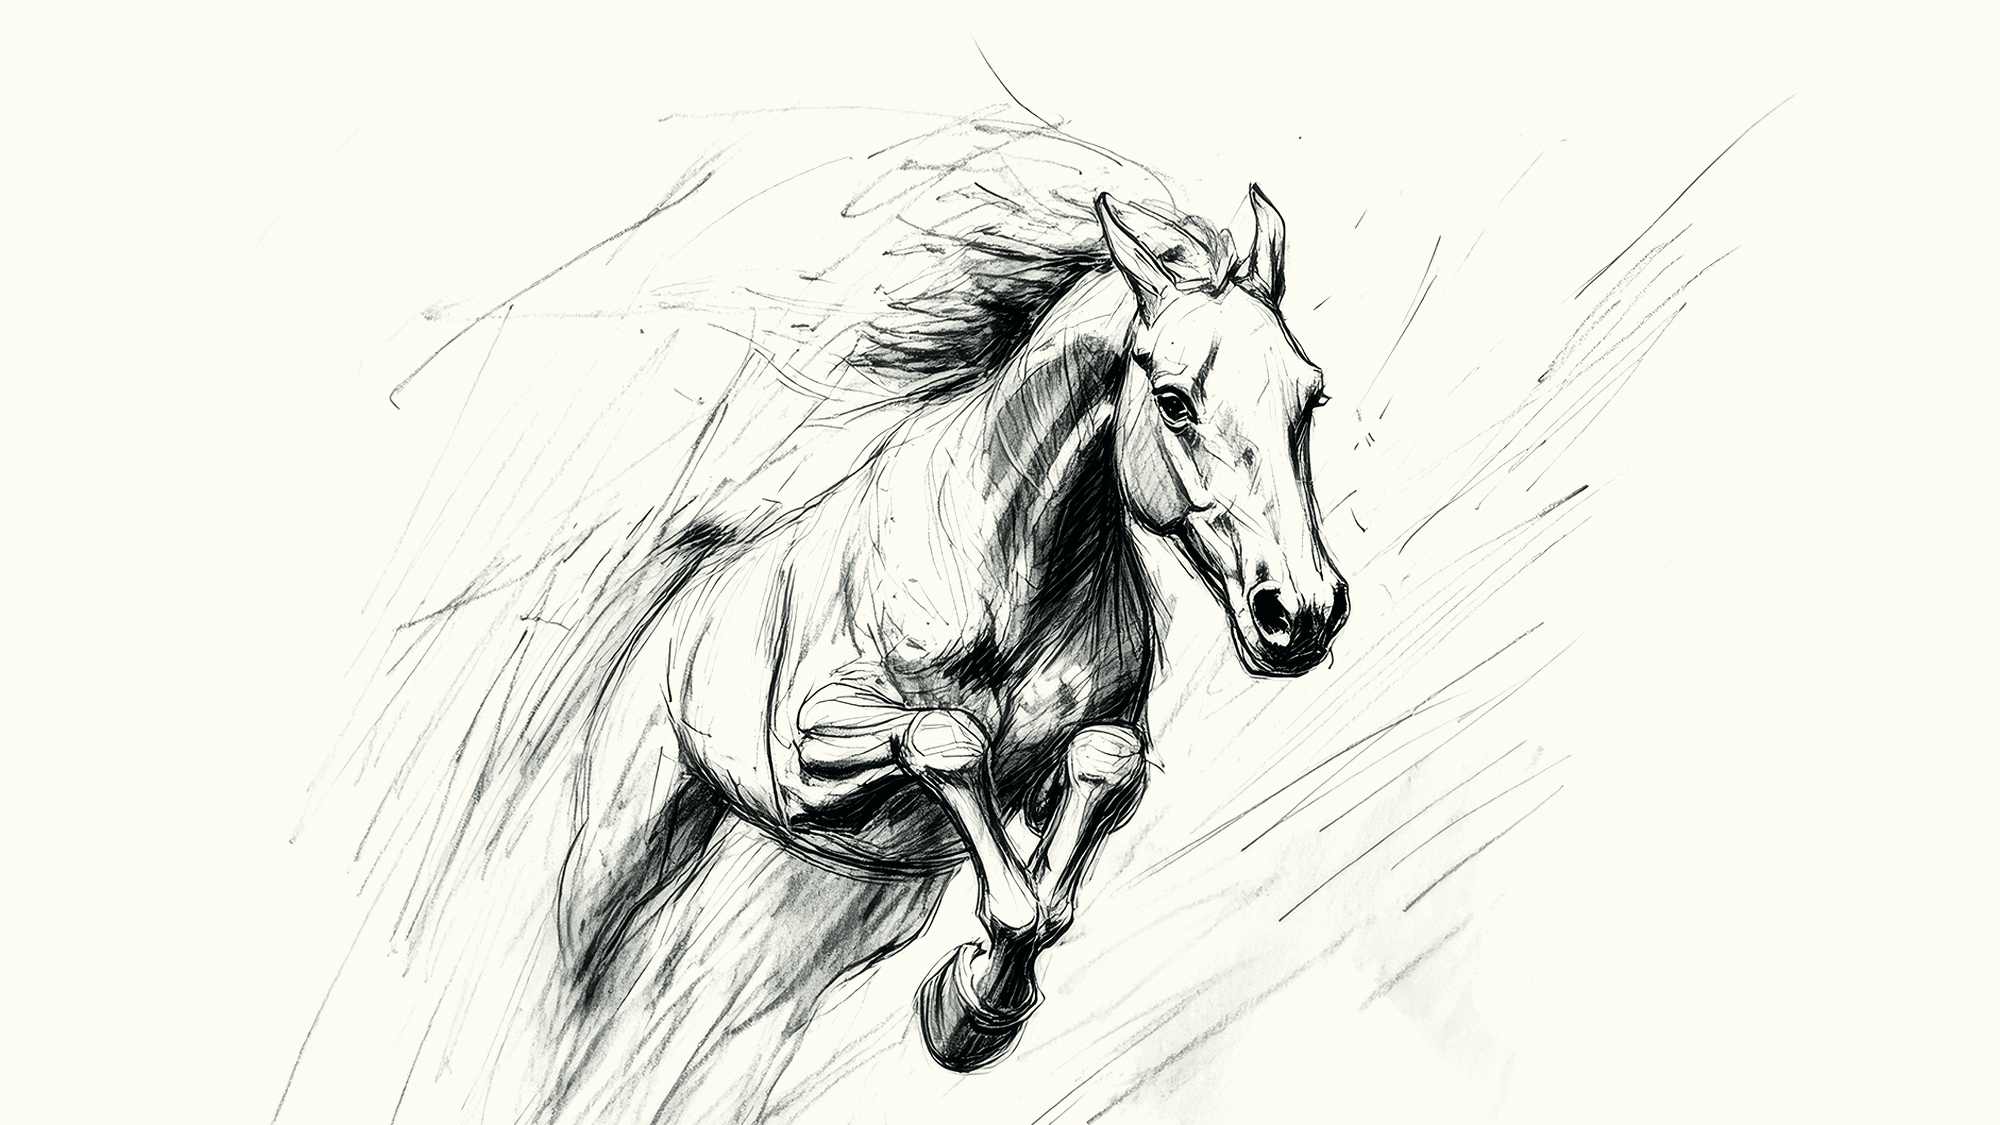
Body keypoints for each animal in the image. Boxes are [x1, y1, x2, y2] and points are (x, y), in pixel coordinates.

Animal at [551, 183, 1351, 1074]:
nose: (1302, 611)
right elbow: (950, 741)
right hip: (613, 856)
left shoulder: (1079, 756)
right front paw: (974, 1004)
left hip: (852, 902)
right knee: (584, 980)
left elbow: (1098, 779)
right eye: (1175, 400)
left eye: (1310, 396)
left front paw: (969, 1005)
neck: (1007, 572)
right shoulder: (805, 751)